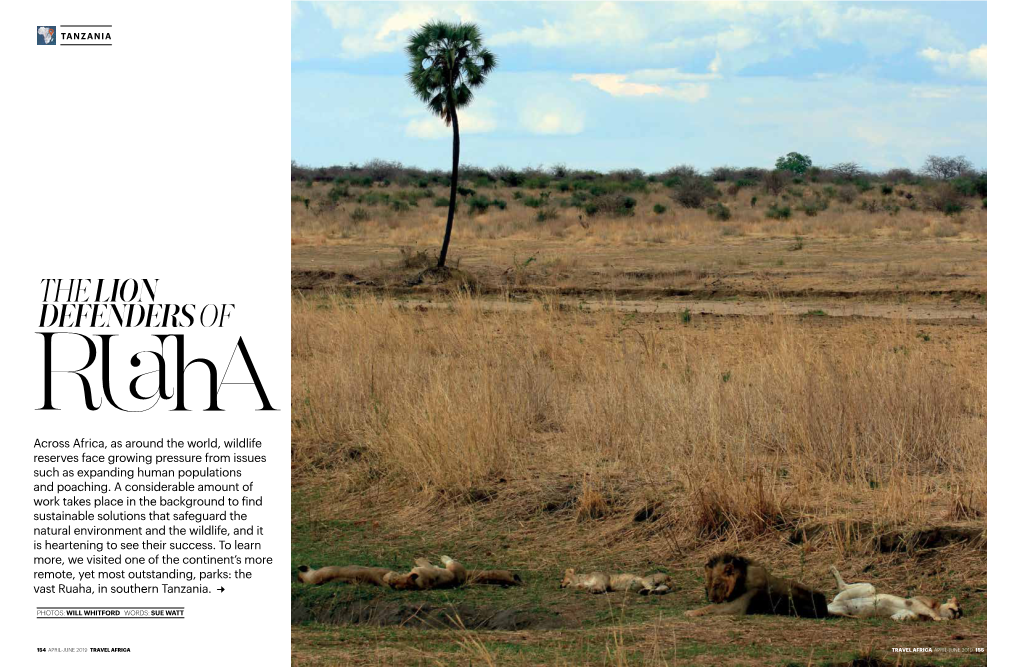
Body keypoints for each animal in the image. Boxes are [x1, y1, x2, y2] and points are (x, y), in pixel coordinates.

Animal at [685, 554, 828, 620]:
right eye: (706, 586)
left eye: (716, 584)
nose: (710, 599)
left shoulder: (738, 607)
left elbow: (713, 607)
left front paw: (690, 612)